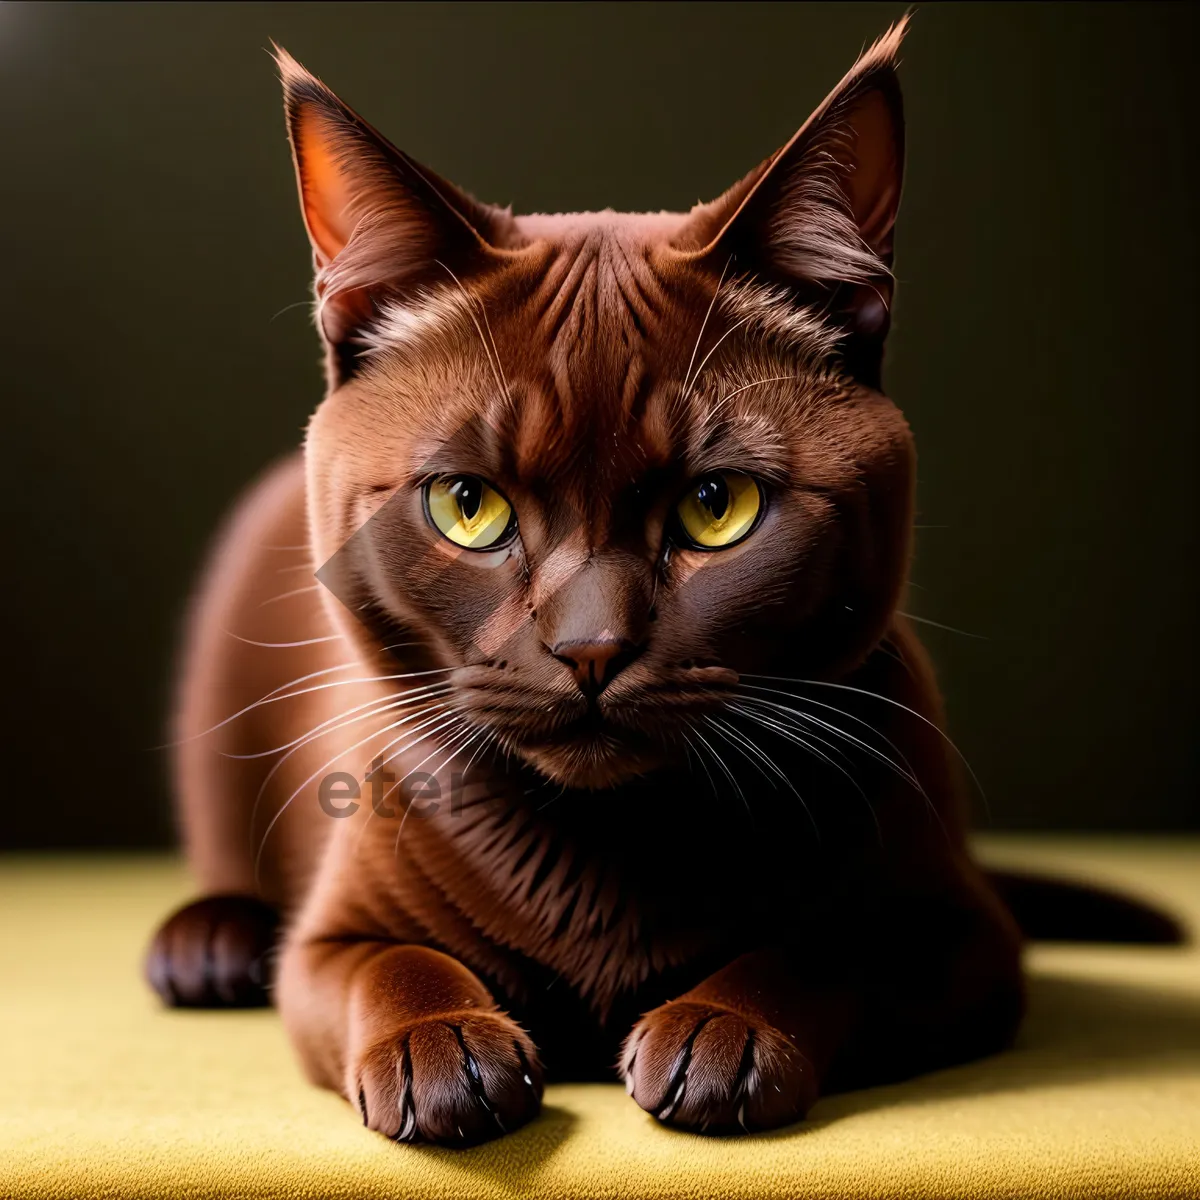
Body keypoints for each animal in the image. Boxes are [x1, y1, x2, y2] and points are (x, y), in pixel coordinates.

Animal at [145, 18, 1176, 1142]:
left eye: (716, 506)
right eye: (469, 505)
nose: (590, 647)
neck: (606, 852)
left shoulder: (962, 940)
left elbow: (827, 949)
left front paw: (722, 1032)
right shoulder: (330, 941)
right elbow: (390, 965)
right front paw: (441, 1049)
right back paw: (209, 943)